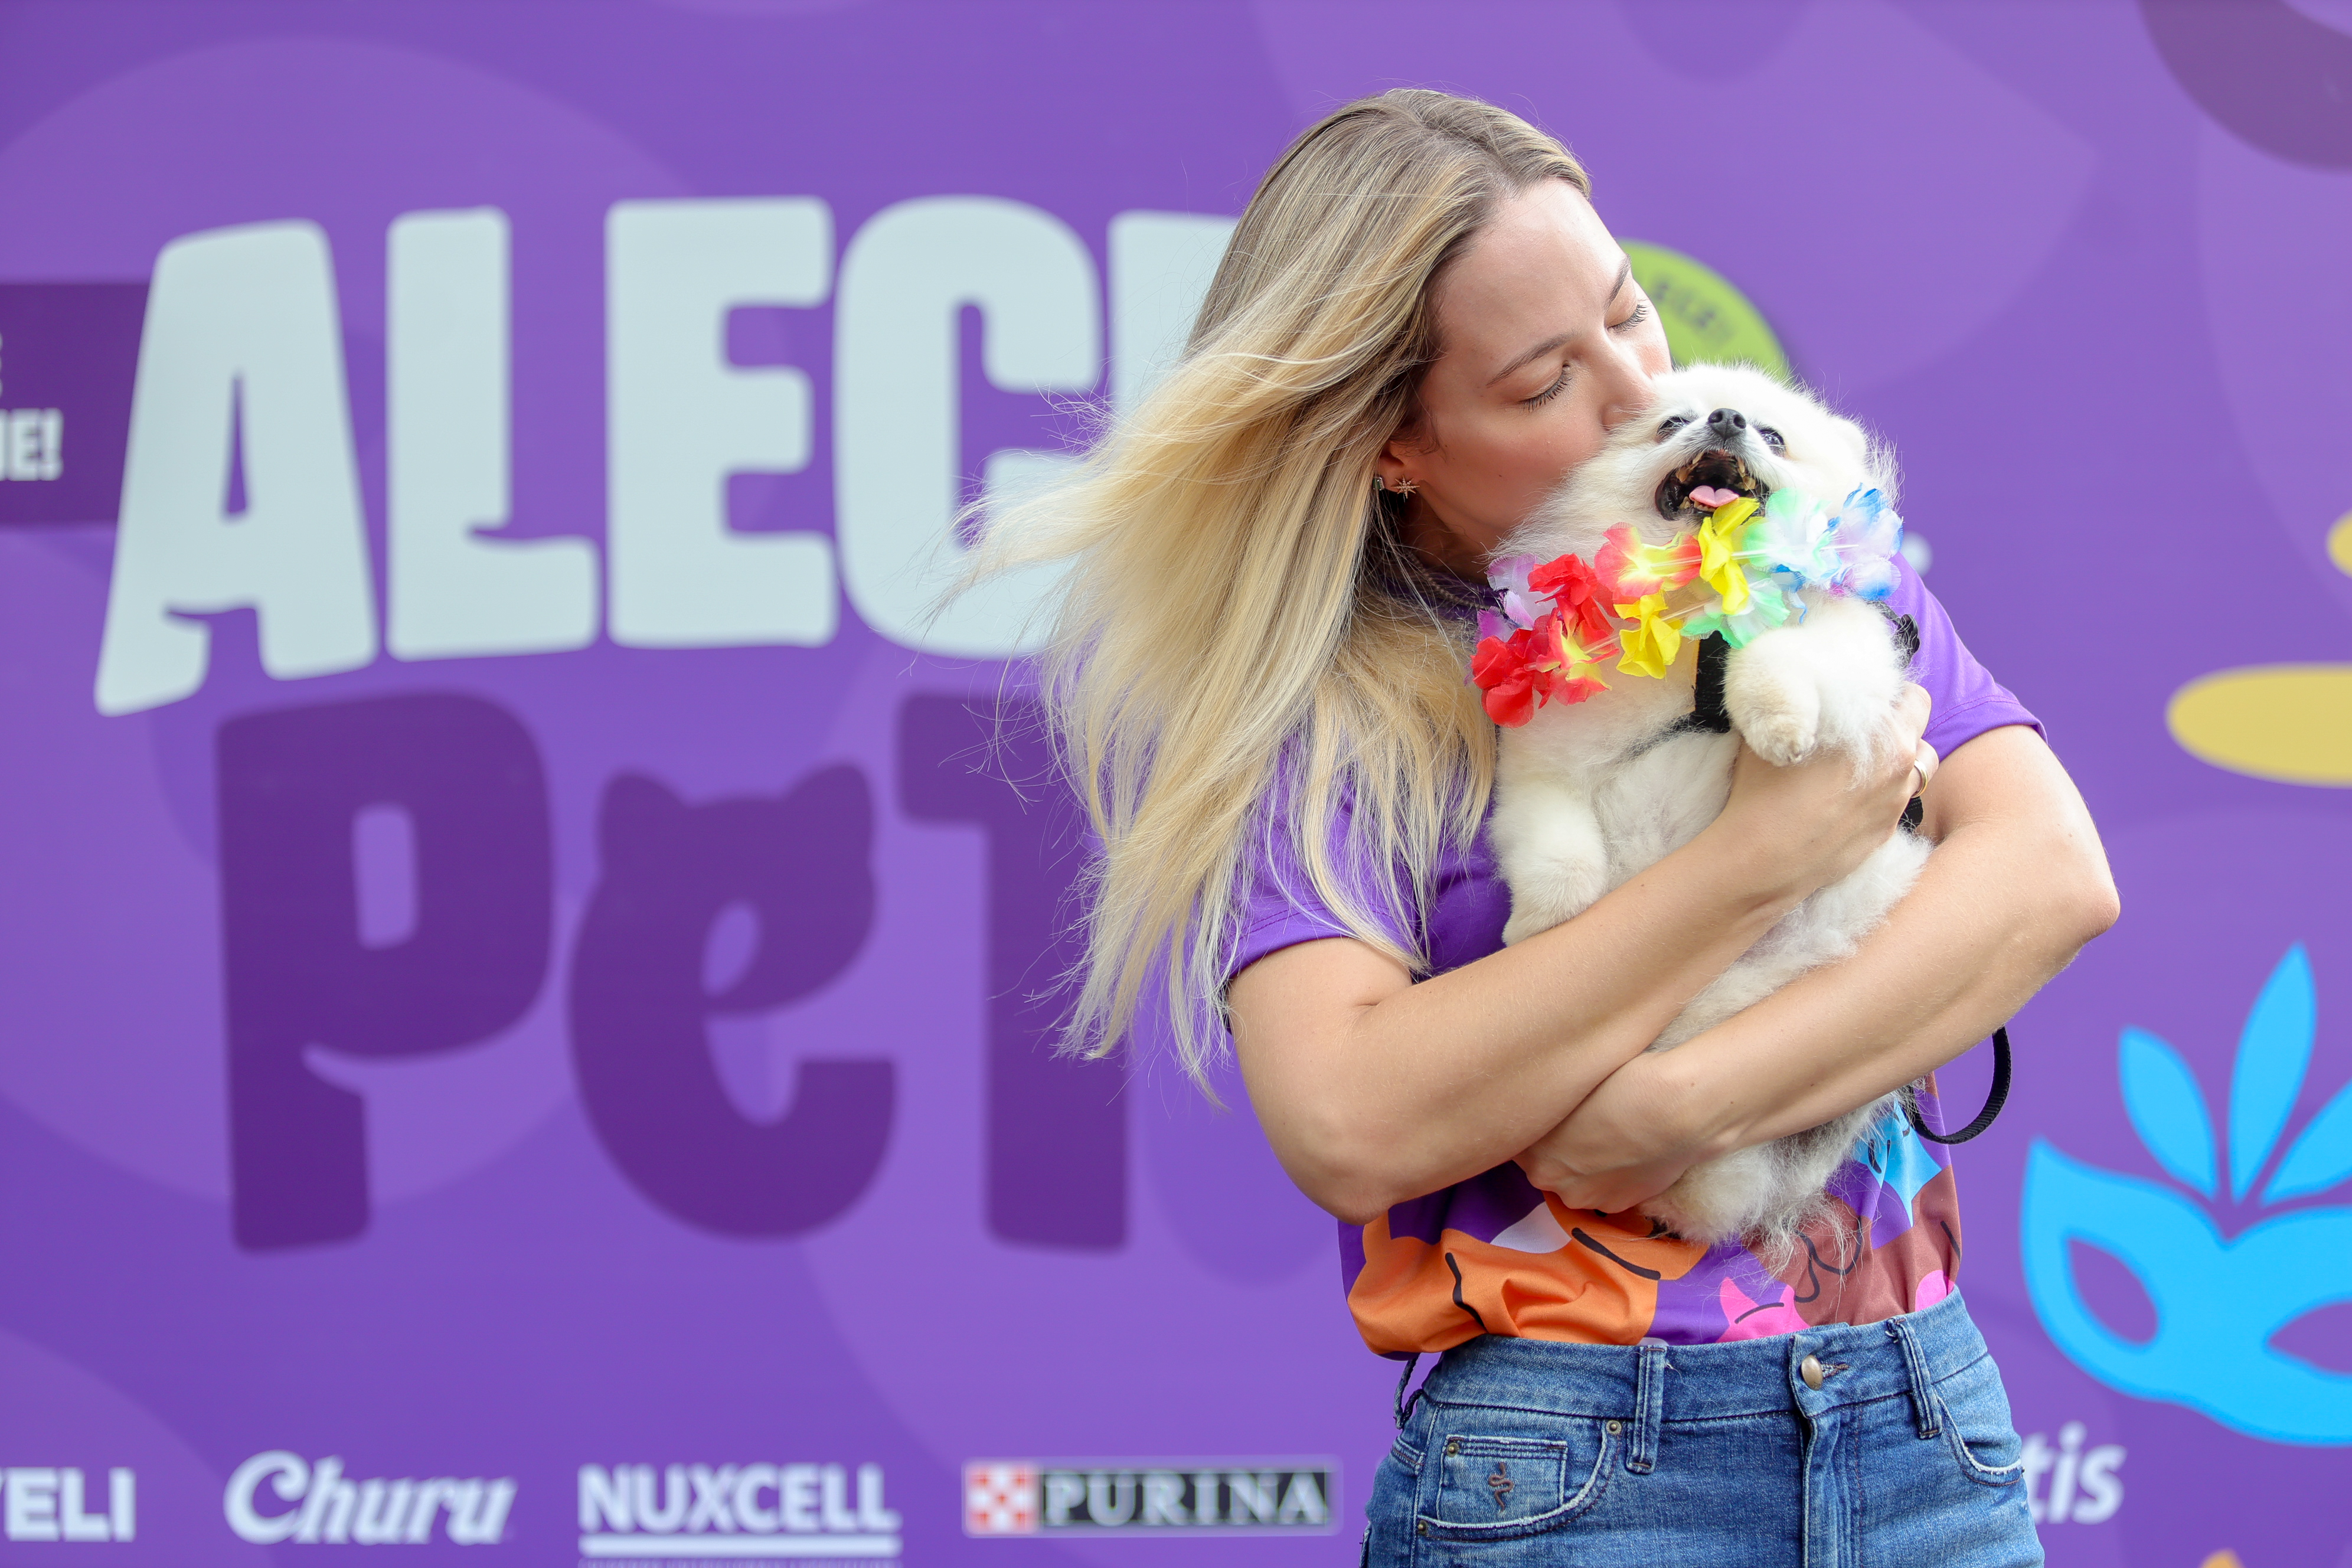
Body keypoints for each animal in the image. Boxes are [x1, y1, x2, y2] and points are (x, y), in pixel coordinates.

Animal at [1487, 362, 1927, 1254]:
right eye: (1671, 424)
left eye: (1774, 436)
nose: (1725, 420)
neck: (1692, 614)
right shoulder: (1545, 763)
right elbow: (1561, 857)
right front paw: (1537, 925)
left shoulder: (1849, 655)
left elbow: (1779, 658)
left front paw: (1777, 721)